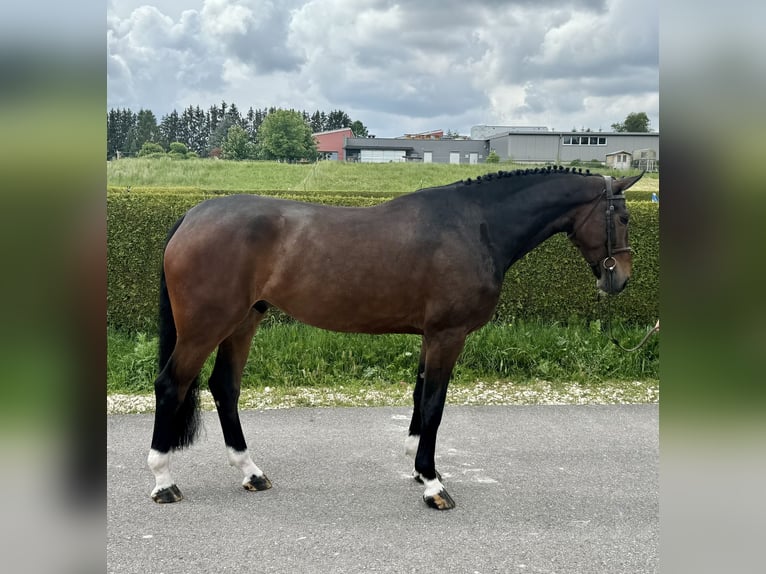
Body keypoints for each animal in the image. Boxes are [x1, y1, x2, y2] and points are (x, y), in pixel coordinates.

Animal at [146, 168, 640, 512]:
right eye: (624, 216)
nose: (620, 279)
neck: (475, 224)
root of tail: (192, 216)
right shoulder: (448, 335)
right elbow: (435, 404)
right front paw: (434, 484)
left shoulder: (430, 336)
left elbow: (421, 396)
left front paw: (419, 468)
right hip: (206, 326)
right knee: (172, 386)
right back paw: (164, 482)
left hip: (243, 322)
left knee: (224, 388)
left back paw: (251, 473)